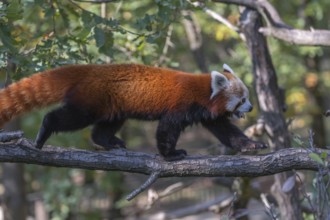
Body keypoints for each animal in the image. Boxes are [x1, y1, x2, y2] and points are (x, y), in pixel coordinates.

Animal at [0, 63, 266, 160]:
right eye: (243, 99)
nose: (252, 107)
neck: (203, 91)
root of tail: (88, 69)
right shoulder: (181, 106)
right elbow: (166, 129)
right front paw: (170, 155)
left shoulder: (207, 114)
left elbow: (228, 132)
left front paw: (252, 145)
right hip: (90, 101)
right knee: (68, 117)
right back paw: (44, 131)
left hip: (113, 106)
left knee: (104, 127)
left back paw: (108, 141)